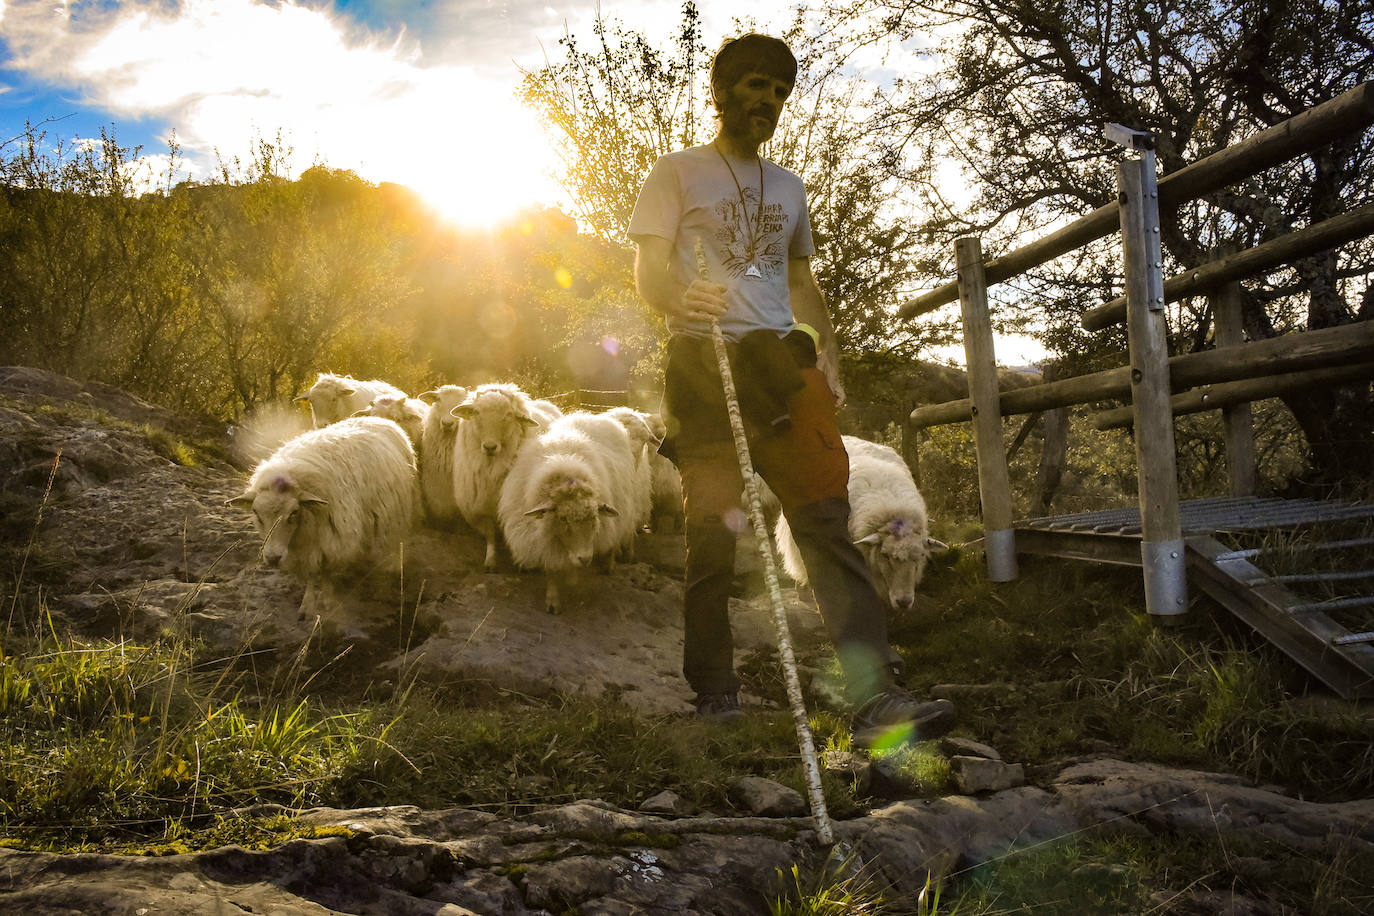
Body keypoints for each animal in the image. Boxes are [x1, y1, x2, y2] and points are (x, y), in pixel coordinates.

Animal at [229, 416, 417, 628]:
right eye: (256, 513)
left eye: (293, 513)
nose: (273, 558)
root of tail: (377, 417)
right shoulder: (304, 547)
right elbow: (310, 575)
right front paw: (307, 606)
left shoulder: (334, 538)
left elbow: (327, 572)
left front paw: (327, 600)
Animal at [450, 383, 557, 571]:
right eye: (476, 412)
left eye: (508, 415)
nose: (490, 446)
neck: (491, 467)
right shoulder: (482, 507)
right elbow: (490, 533)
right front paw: (490, 560)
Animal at [497, 411, 641, 613]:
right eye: (563, 518)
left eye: (594, 518)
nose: (585, 559)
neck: (565, 466)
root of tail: (592, 416)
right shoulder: (544, 538)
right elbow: (551, 569)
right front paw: (553, 601)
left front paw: (573, 582)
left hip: (623, 508)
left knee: (614, 535)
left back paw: (608, 565)